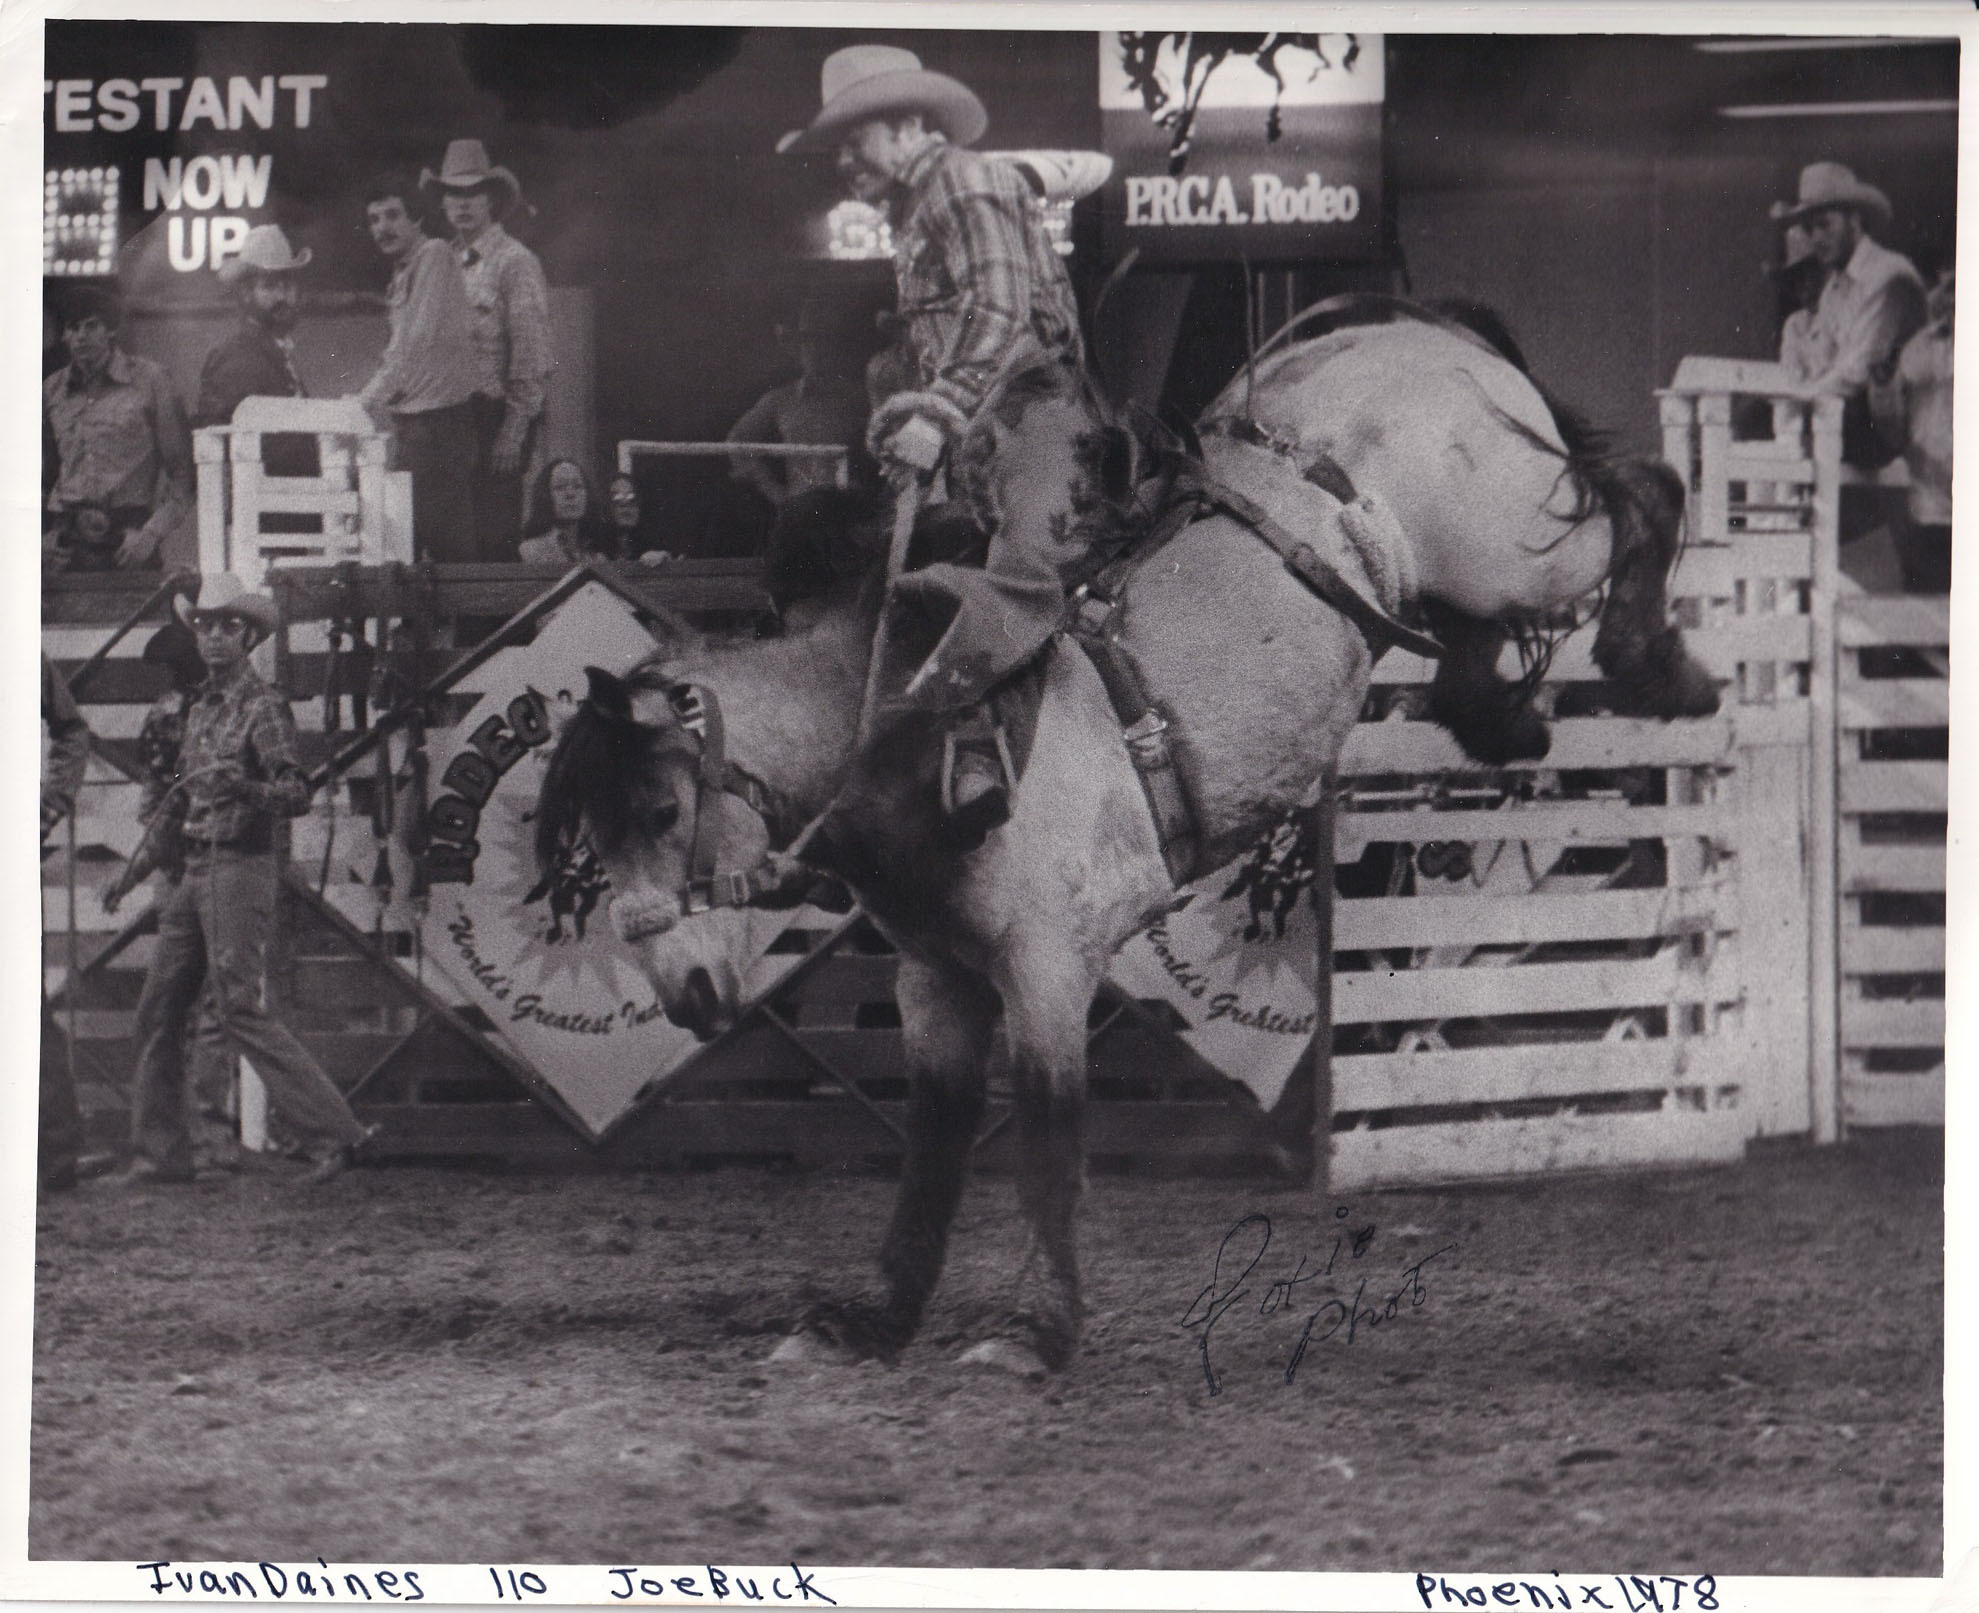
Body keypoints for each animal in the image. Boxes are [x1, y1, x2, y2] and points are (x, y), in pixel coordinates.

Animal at [533, 302, 1718, 1375]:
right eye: (587, 836)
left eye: (658, 813)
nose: (685, 991)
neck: (904, 714)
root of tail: (1418, 331)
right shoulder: (934, 980)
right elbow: (932, 1151)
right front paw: (869, 1319)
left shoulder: (1047, 967)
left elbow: (1048, 1144)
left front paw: (1033, 1333)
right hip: (1448, 573)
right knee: (1473, 628)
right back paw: (1506, 719)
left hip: (1511, 539)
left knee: (1643, 493)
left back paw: (1660, 664)